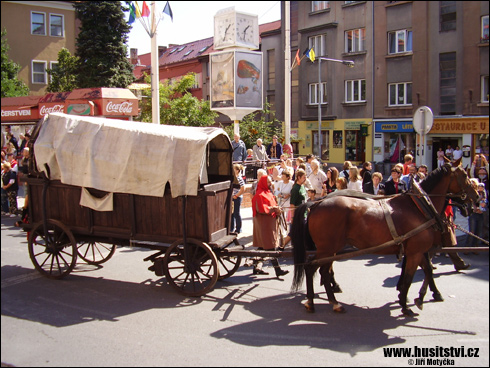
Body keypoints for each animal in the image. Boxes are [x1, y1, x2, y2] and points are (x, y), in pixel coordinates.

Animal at [290, 160, 478, 318]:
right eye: (464, 175)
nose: (477, 197)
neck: (419, 207)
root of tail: (316, 203)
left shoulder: (417, 251)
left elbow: (428, 271)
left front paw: (420, 297)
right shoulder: (416, 252)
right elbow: (409, 277)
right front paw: (406, 305)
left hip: (331, 249)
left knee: (322, 271)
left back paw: (328, 301)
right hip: (327, 248)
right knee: (312, 268)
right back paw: (319, 302)